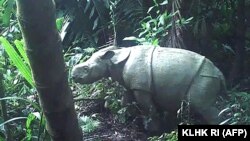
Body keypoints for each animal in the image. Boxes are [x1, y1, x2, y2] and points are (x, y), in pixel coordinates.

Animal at [72, 45, 227, 133]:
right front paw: (125, 120)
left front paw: (151, 129)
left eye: (86, 69)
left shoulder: (141, 88)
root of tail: (219, 73)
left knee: (202, 106)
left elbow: (148, 107)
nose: (72, 75)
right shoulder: (131, 85)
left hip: (204, 77)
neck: (113, 60)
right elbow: (125, 102)